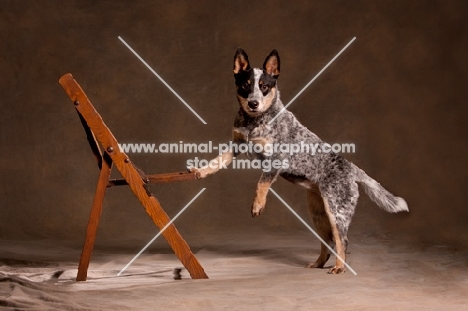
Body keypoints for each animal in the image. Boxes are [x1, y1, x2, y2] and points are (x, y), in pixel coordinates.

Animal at [190, 47, 410, 274]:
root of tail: (351, 168)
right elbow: (217, 161)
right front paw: (201, 171)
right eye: (245, 85)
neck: (254, 122)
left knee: (342, 241)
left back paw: (339, 267)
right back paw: (318, 263)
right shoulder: (236, 145)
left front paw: (257, 205)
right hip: (318, 215)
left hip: (336, 212)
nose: (253, 103)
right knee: (327, 242)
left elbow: (261, 183)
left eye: (264, 86)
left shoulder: (276, 159)